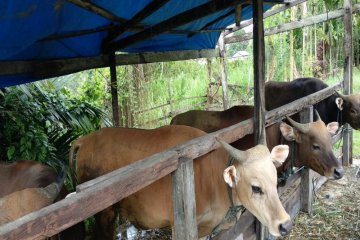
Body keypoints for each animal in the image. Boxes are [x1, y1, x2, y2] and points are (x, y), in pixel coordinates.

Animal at [70, 124, 292, 239]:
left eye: (274, 181)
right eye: (256, 188)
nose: (285, 225)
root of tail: (84, 140)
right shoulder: (180, 227)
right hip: (104, 214)